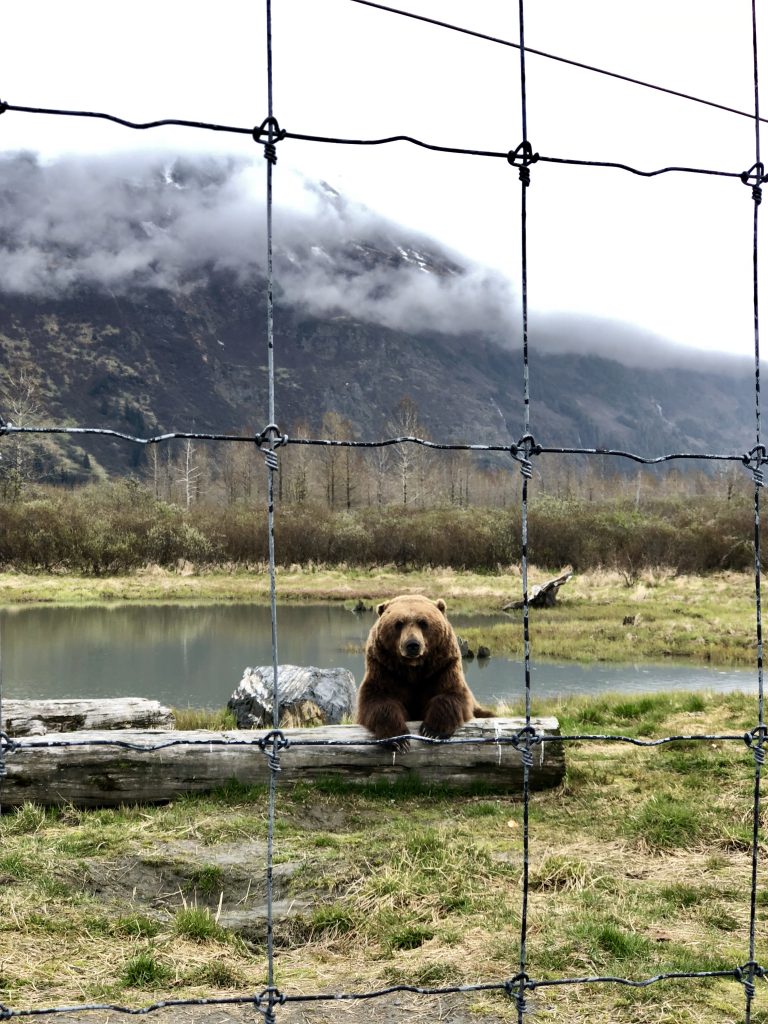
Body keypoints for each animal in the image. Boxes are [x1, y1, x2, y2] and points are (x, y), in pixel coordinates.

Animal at [354, 593, 493, 745]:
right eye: (398, 623)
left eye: (423, 623)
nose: (412, 645)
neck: (413, 669)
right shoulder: (384, 669)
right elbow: (377, 699)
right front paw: (398, 739)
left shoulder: (442, 667)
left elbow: (451, 694)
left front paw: (432, 731)